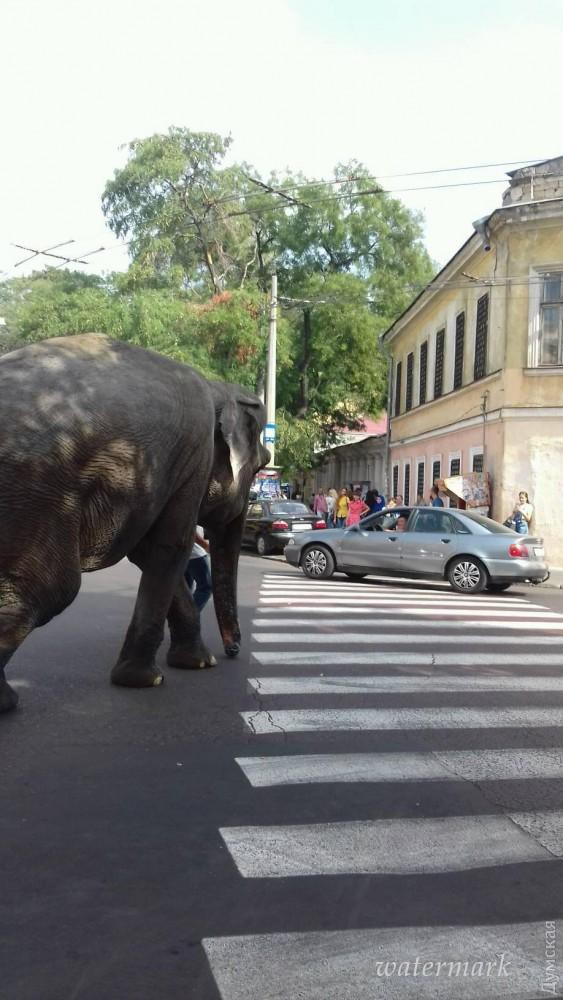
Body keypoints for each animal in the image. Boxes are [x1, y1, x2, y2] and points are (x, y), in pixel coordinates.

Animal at [0, 336, 270, 712]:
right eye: (262, 466)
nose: (232, 651)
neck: (217, 387)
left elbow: (146, 552)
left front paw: (198, 663)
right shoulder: (194, 457)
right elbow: (170, 547)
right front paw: (149, 679)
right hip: (37, 492)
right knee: (49, 588)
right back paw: (6, 701)